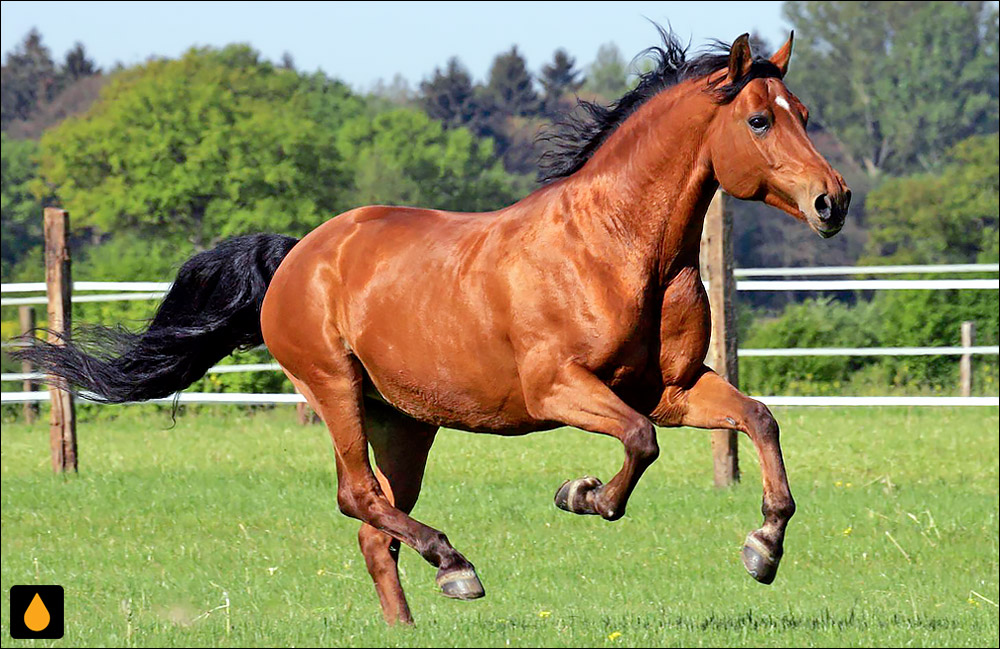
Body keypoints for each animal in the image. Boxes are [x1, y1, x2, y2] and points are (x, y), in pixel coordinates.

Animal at [17, 29, 852, 624]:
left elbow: (759, 418)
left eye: (805, 116)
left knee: (375, 522)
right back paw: (456, 565)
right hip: (335, 390)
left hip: (405, 422)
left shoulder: (670, 388)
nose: (832, 201)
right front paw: (581, 493)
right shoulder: (559, 389)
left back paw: (411, 616)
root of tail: (298, 254)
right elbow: (638, 446)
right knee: (357, 497)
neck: (617, 247)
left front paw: (763, 548)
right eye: (758, 119)